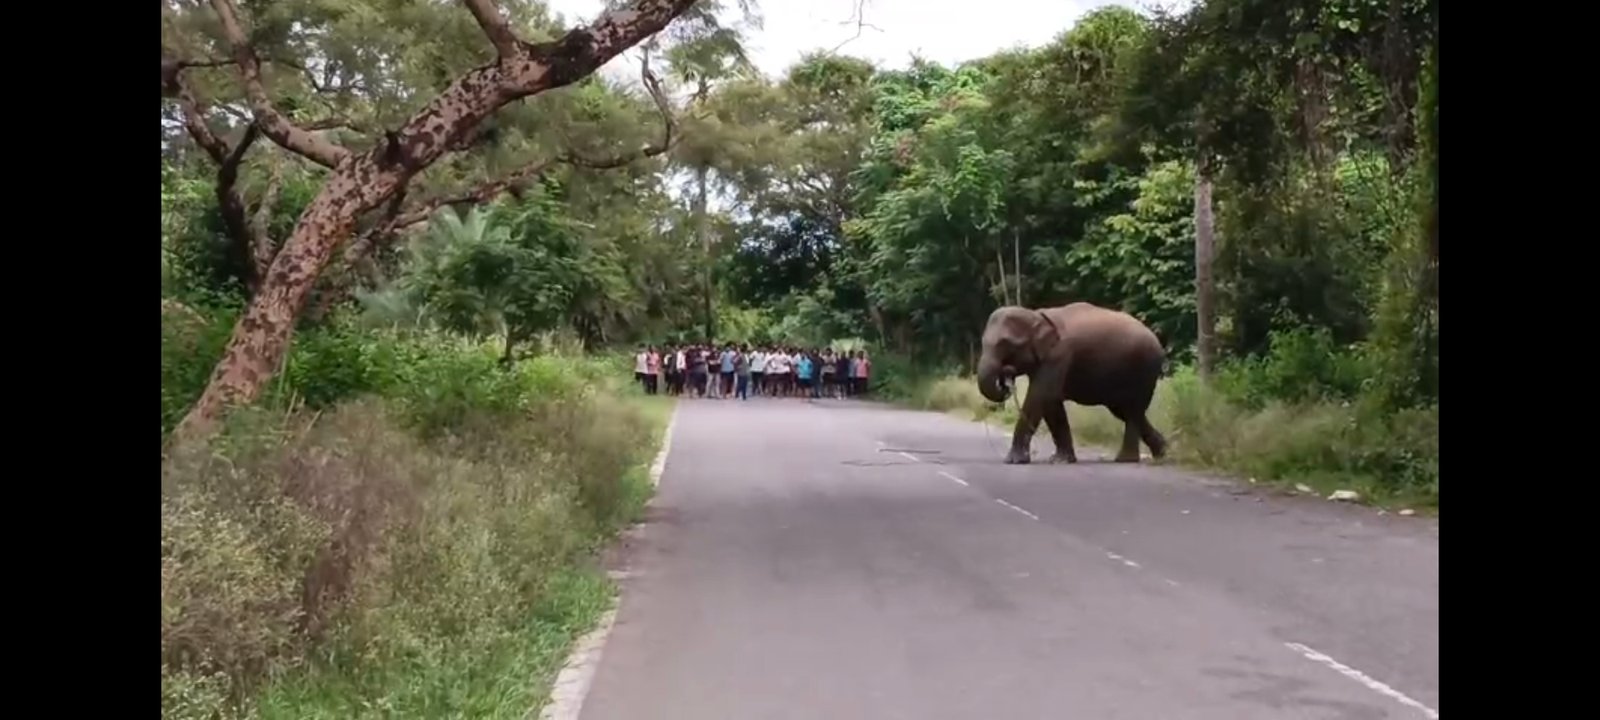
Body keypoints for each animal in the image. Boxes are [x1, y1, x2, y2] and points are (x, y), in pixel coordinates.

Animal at [976, 303, 1169, 465]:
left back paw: (1125, 460)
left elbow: (1041, 396)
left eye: (1005, 344)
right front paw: (1061, 460)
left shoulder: (1059, 355)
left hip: (1144, 370)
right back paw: (1162, 453)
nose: (1006, 375)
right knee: (1126, 411)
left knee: (1133, 411)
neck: (1036, 314)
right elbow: (1052, 404)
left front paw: (1014, 461)